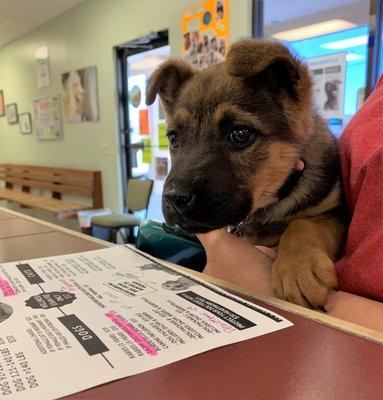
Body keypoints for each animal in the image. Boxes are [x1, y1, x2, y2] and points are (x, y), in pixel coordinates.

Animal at [146, 39, 346, 310]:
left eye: (240, 134)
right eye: (174, 138)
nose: (174, 199)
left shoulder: (334, 212)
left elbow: (304, 224)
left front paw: (299, 267)